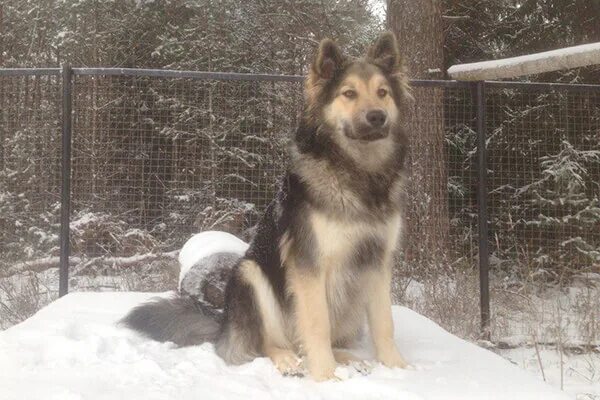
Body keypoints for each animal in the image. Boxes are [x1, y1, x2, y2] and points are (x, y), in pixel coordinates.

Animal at [122, 31, 412, 382]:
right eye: (349, 93)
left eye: (382, 92)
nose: (377, 117)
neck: (360, 175)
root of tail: (225, 325)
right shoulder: (309, 264)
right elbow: (316, 324)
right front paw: (325, 377)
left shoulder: (378, 261)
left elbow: (385, 323)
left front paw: (398, 368)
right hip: (250, 274)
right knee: (269, 343)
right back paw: (289, 360)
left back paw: (347, 358)